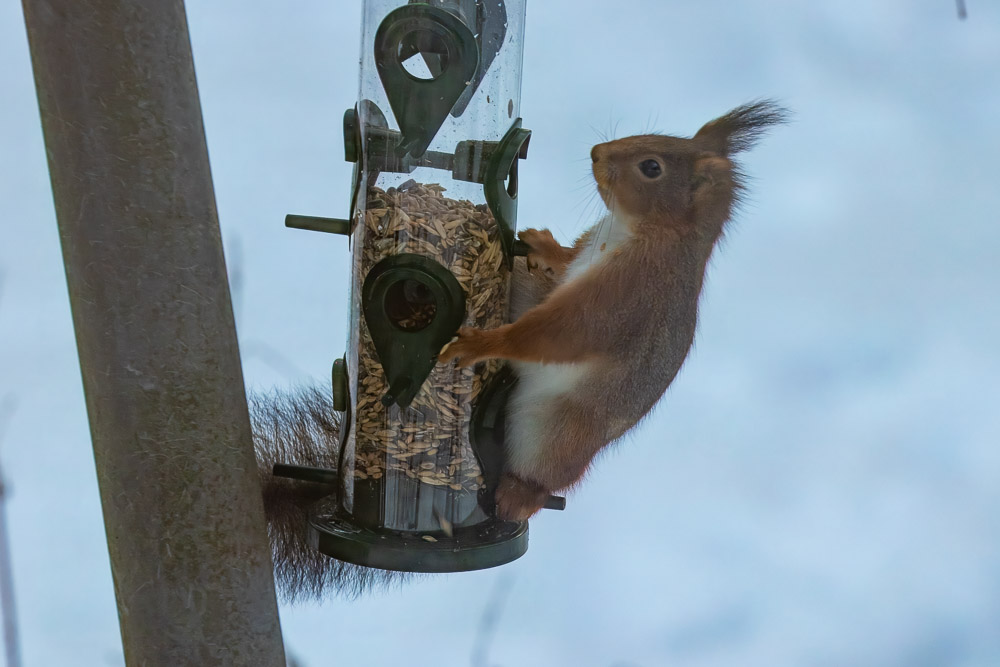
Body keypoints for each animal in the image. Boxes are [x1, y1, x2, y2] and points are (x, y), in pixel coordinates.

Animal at [440, 100, 788, 520]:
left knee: (541, 480)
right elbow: (562, 268)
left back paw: (518, 494)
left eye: (652, 167)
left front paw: (482, 343)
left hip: (556, 436)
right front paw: (543, 247)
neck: (629, 231)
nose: (596, 153)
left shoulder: (629, 293)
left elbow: (564, 332)